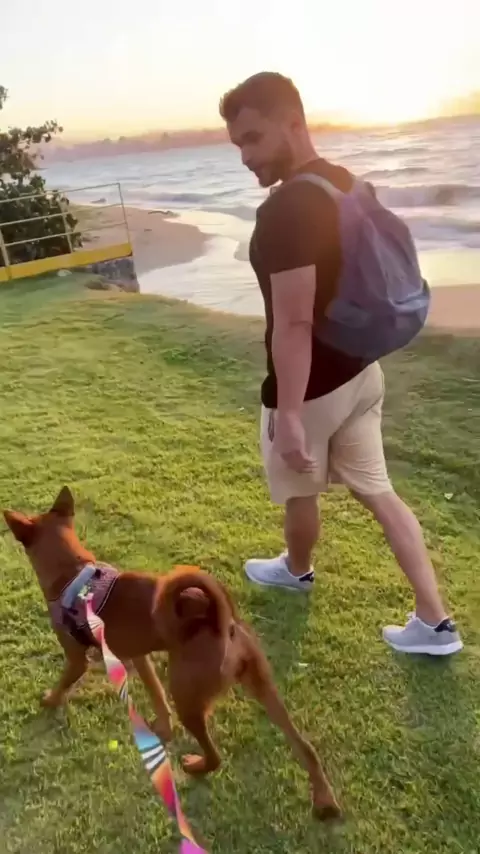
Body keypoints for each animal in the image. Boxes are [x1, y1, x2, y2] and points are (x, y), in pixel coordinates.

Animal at [4, 486, 340, 819]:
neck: (72, 573)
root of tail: (219, 619)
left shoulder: (76, 659)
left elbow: (64, 683)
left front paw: (48, 700)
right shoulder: (139, 657)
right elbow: (156, 695)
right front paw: (162, 729)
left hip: (188, 696)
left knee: (215, 756)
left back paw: (196, 767)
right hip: (261, 685)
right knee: (305, 746)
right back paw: (325, 800)